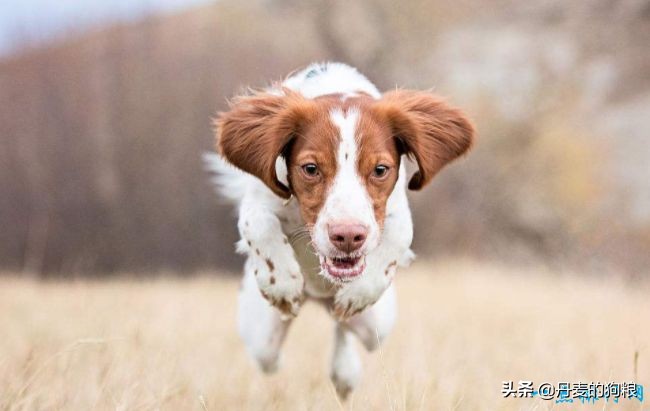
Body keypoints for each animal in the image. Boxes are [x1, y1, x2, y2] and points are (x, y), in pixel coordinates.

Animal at [205, 62, 474, 400]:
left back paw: (345, 369)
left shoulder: (396, 211)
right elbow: (259, 225)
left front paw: (358, 293)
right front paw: (282, 284)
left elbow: (398, 237)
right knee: (274, 352)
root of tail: (317, 297)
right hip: (260, 338)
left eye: (380, 170)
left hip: (378, 324)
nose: (347, 236)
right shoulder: (258, 199)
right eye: (310, 168)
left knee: (342, 323)